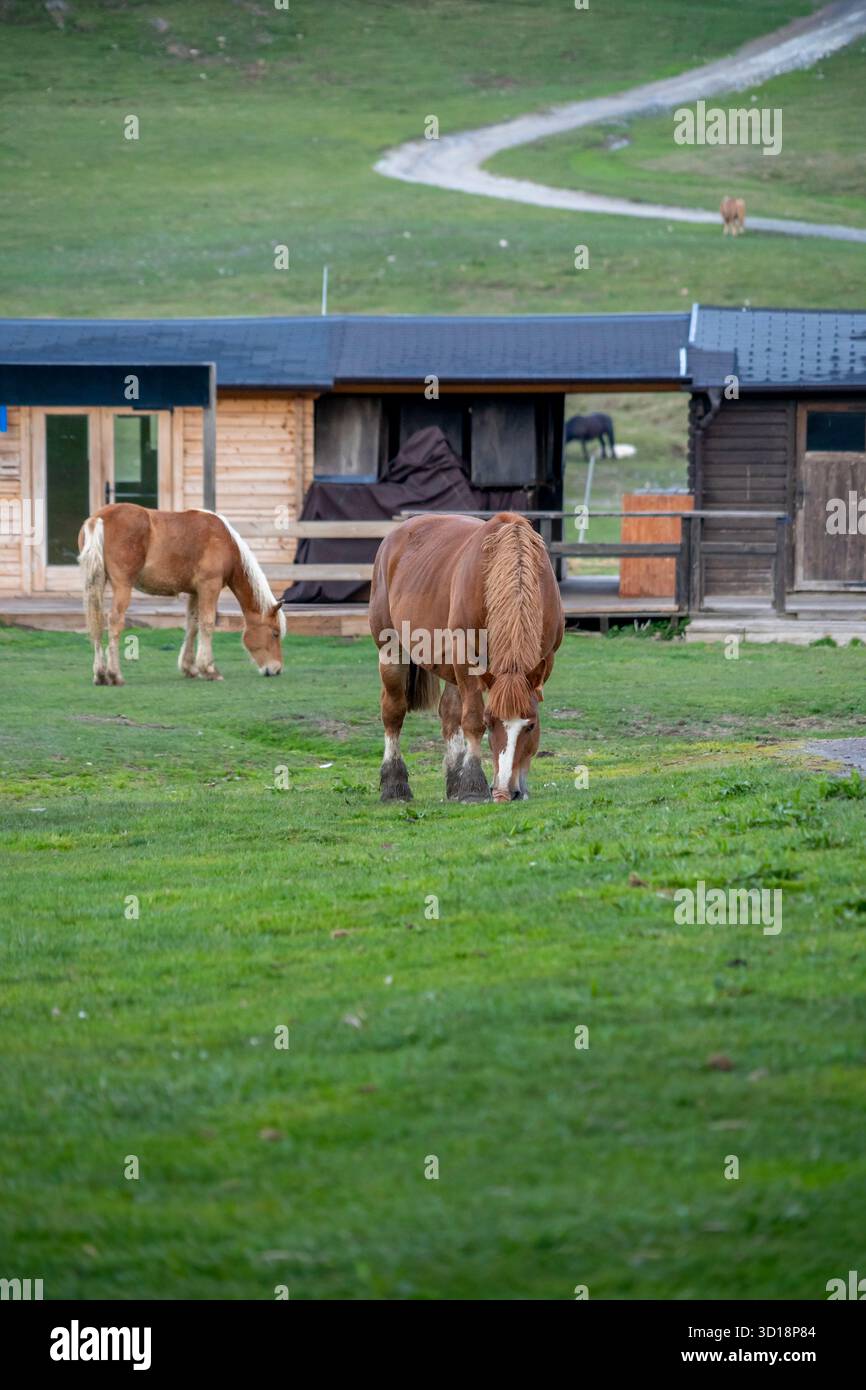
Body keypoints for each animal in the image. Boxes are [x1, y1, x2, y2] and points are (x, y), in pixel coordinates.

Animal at [77, 503, 285, 685]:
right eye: (275, 633)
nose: (276, 669)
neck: (225, 541)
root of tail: (98, 518)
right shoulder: (209, 586)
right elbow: (207, 624)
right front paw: (209, 669)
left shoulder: (195, 592)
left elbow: (192, 625)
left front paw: (190, 667)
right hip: (123, 586)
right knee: (114, 621)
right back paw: (115, 674)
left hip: (96, 584)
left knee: (96, 623)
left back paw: (100, 674)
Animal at [369, 512, 564, 804]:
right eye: (490, 722)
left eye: (530, 726)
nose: (505, 792)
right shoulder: (465, 656)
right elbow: (471, 719)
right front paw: (473, 785)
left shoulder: (546, 658)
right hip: (391, 652)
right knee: (393, 712)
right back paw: (394, 785)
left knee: (449, 714)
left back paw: (454, 782)